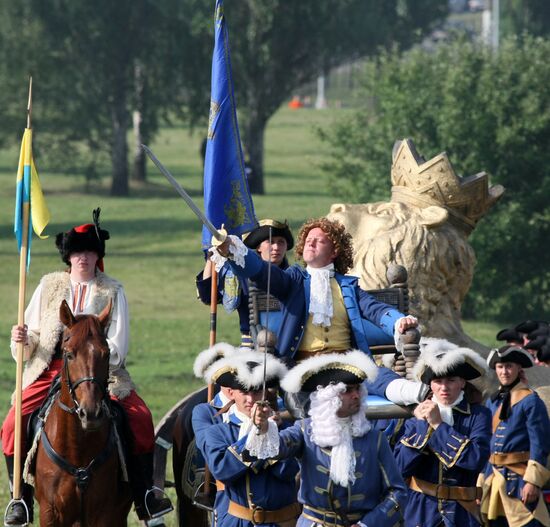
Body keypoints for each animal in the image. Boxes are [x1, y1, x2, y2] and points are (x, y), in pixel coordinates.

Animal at [33, 302, 133, 527]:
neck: (76, 449)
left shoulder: (103, 513)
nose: (91, 413)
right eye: (69, 354)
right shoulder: (49, 512)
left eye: (106, 354)